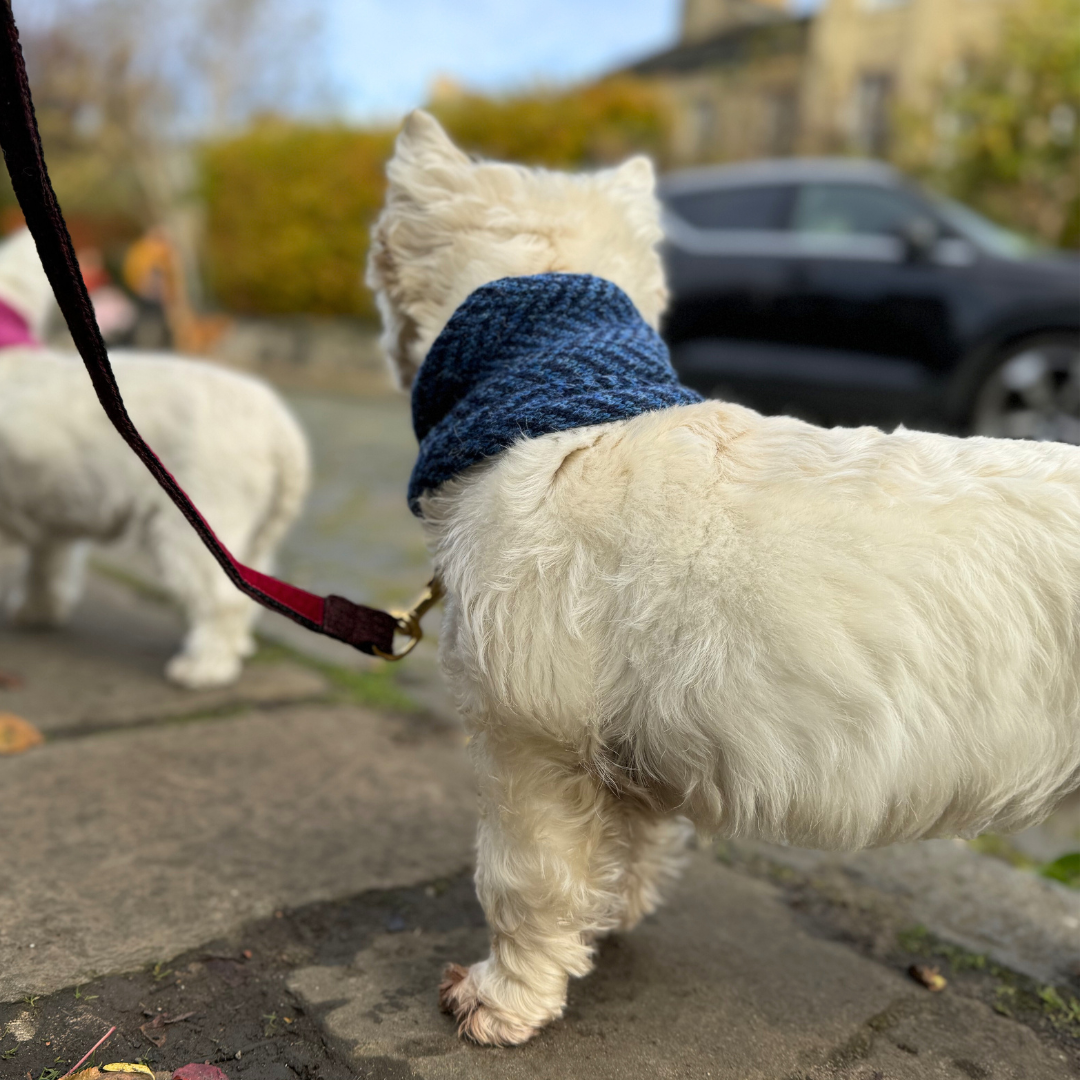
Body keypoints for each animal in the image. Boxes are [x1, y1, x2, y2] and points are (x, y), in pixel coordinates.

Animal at [0, 230, 308, 691]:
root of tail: (279, 429)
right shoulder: (54, 512)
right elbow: (47, 566)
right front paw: (37, 611)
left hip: (197, 526)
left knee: (223, 599)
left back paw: (206, 667)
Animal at [365, 111, 1080, 1045]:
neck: (558, 414)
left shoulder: (531, 739)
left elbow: (524, 878)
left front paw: (502, 998)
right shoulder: (617, 746)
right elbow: (626, 845)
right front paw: (606, 919)